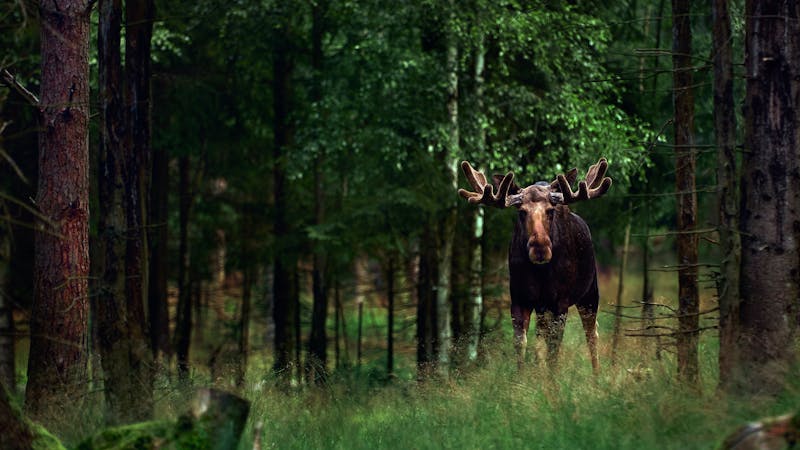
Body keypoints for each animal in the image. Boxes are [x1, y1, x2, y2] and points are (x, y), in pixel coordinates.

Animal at [456, 159, 612, 372]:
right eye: (522, 212)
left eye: (551, 211)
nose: (540, 248)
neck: (541, 273)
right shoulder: (520, 299)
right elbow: (521, 344)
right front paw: (523, 378)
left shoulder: (560, 302)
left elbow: (554, 350)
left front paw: (552, 381)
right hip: (542, 307)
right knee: (540, 339)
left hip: (590, 292)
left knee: (592, 334)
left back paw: (596, 376)